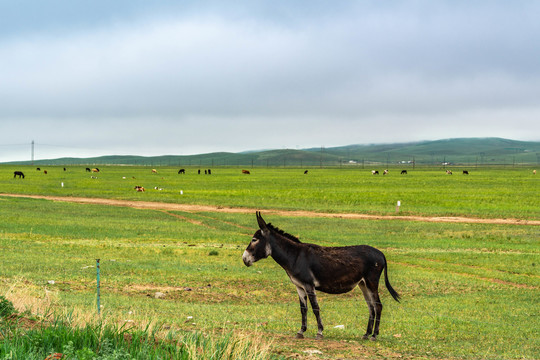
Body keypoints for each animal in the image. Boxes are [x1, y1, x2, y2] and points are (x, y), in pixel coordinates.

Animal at [245, 212, 400, 342]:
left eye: (254, 239)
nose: (244, 259)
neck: (295, 256)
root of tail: (381, 253)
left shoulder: (309, 285)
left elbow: (315, 308)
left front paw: (319, 332)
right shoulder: (299, 287)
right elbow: (303, 309)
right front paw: (301, 332)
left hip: (371, 281)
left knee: (378, 306)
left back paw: (374, 335)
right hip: (363, 284)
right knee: (371, 307)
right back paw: (367, 334)